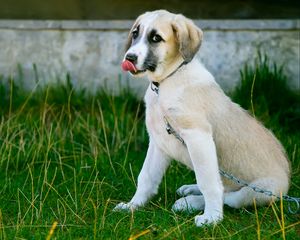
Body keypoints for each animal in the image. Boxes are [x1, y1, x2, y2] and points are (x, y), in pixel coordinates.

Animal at [113, 9, 290, 227]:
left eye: (156, 38)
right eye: (135, 33)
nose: (129, 58)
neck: (166, 82)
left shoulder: (198, 137)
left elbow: (209, 183)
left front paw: (212, 218)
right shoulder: (159, 141)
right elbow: (146, 177)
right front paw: (133, 206)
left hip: (261, 191)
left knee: (230, 195)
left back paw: (189, 203)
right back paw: (190, 189)